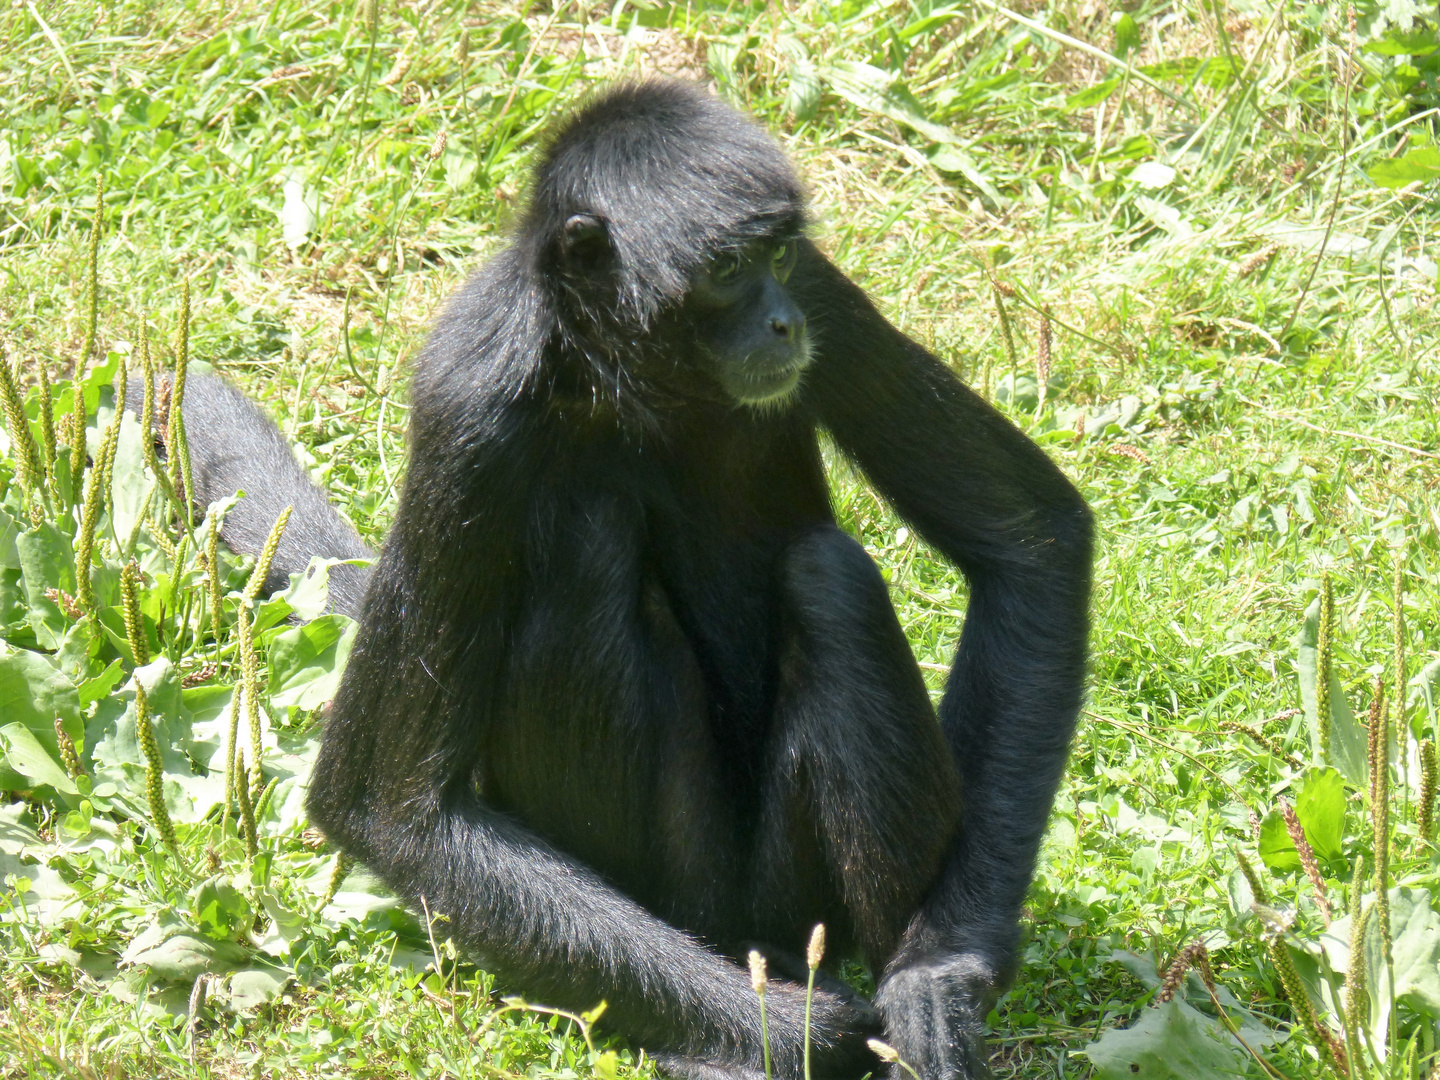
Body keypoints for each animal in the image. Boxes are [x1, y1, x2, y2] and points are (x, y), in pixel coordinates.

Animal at [180, 80, 1094, 1077]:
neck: (632, 376)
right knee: (590, 538)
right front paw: (802, 1035)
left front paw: (935, 979)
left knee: (829, 575)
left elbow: (1031, 543)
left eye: (777, 255)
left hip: (788, 886)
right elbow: (385, 809)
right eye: (727, 270)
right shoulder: (472, 390)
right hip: (679, 888)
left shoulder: (822, 289)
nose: (782, 321)